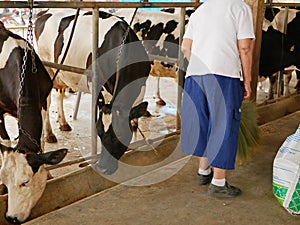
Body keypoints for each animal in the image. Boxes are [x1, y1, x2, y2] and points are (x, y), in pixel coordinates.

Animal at [0, 22, 67, 224]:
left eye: (26, 181)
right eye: (6, 181)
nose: (11, 217)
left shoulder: (43, 100)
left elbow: (42, 140)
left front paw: (49, 171)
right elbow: (5, 142)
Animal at [35, 9, 151, 175]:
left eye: (118, 136)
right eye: (100, 134)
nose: (102, 167)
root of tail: (43, 12)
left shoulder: (141, 88)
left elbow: (134, 124)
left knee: (60, 93)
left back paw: (63, 123)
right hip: (48, 67)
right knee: (47, 101)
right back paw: (49, 134)